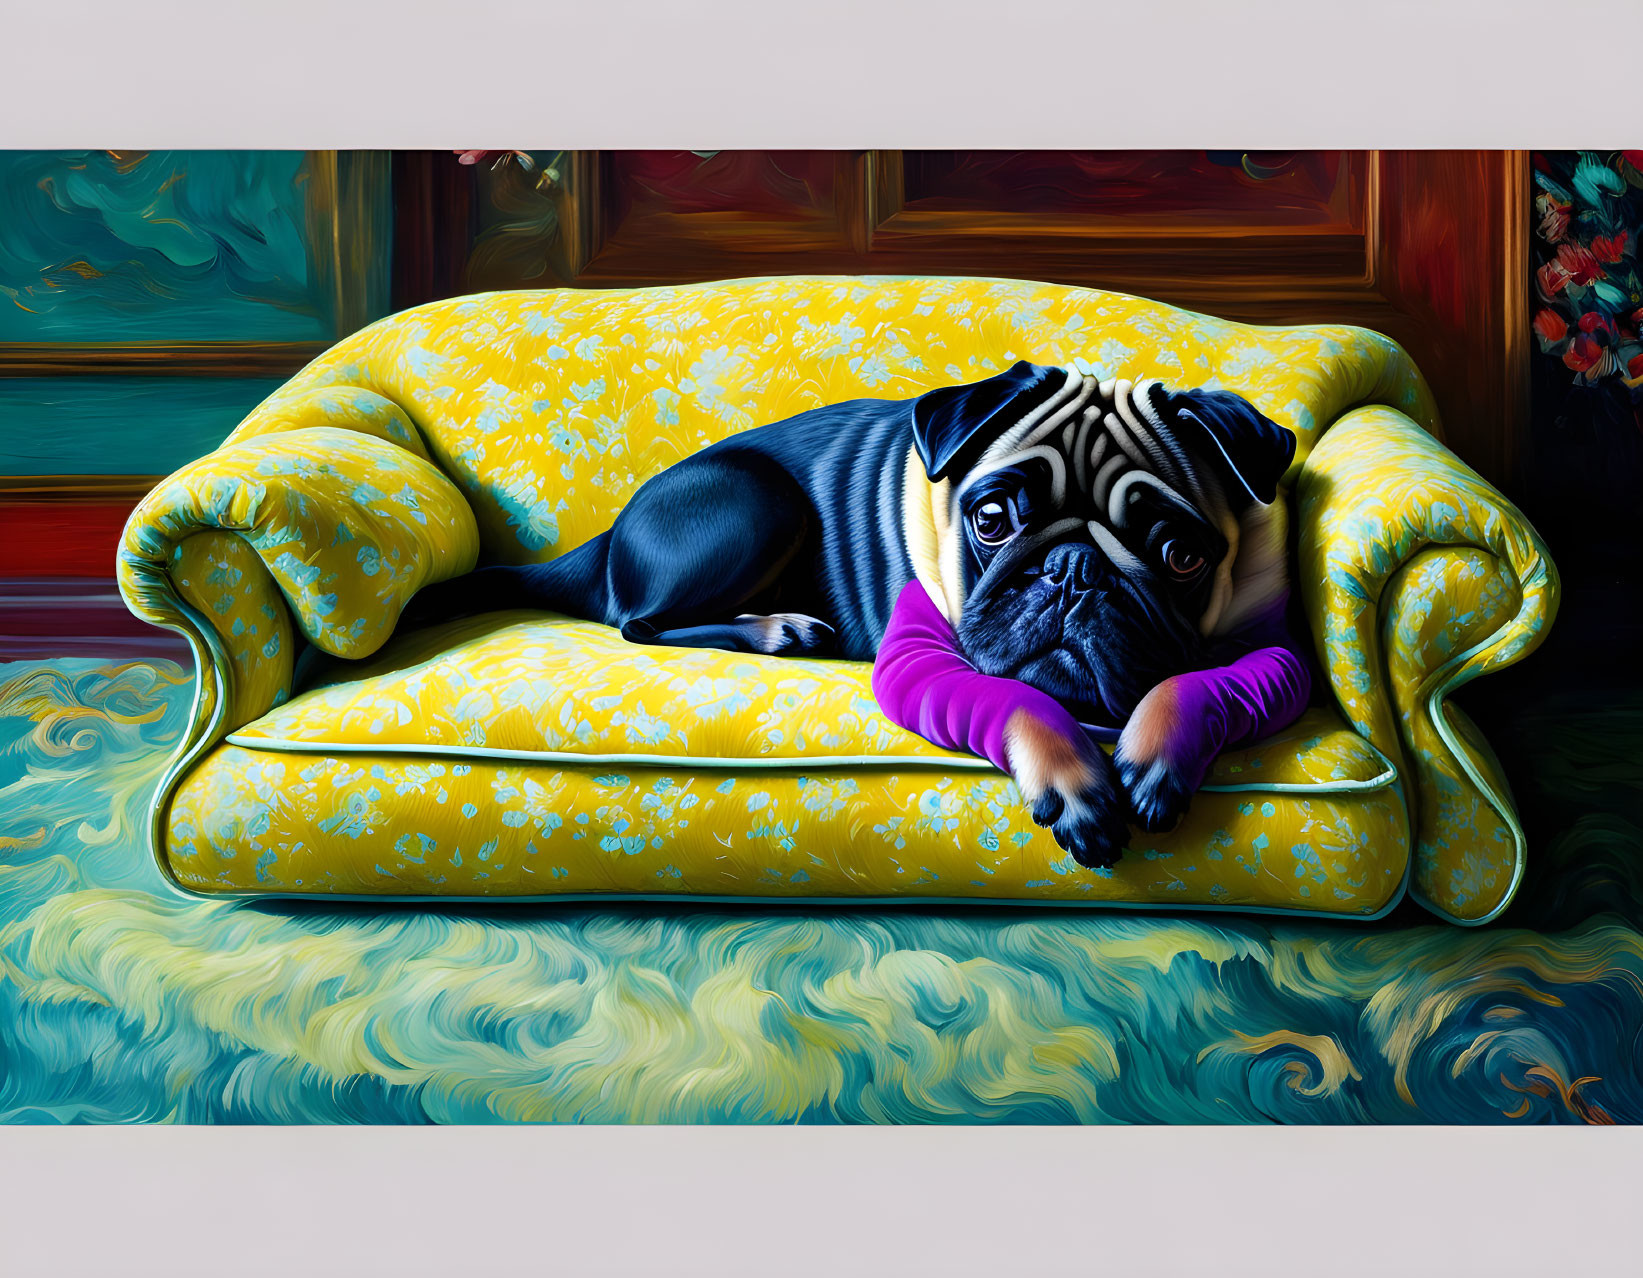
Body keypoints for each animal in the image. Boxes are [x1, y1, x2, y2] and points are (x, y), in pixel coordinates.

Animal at [404, 356, 1314, 867]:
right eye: (991, 519)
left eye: (1181, 555)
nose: (1071, 568)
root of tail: (607, 537)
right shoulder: (923, 657)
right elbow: (1018, 702)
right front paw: (1074, 782)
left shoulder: (1276, 657)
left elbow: (1190, 683)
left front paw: (1157, 754)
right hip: (757, 501)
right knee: (638, 621)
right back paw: (778, 628)